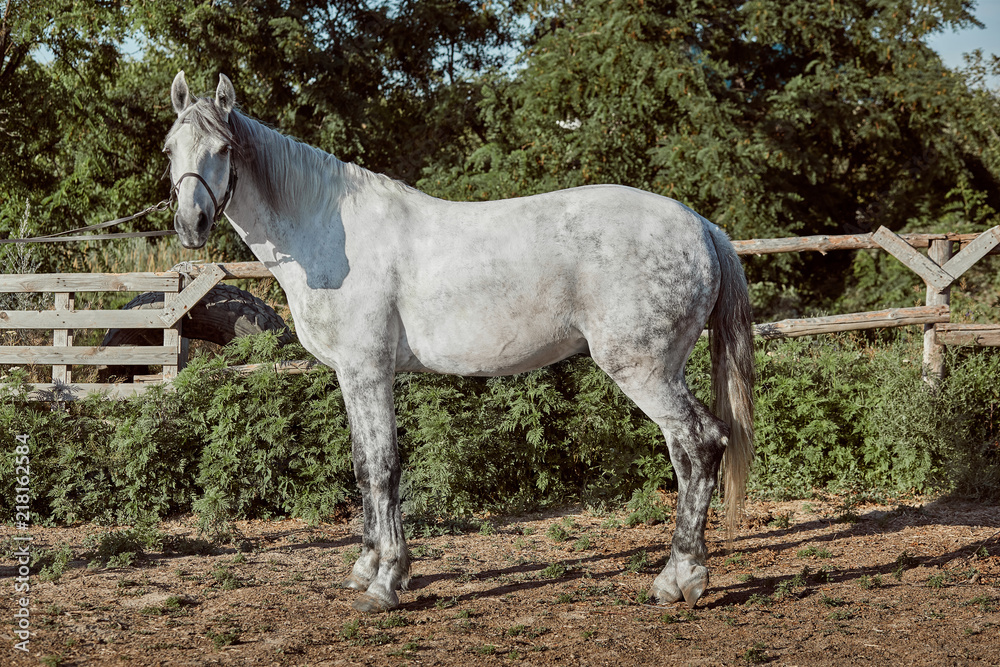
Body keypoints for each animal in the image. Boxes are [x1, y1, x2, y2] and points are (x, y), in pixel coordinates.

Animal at [164, 71, 756, 612]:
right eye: (171, 148)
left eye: (223, 148)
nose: (191, 222)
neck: (332, 233)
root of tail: (700, 226)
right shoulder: (351, 376)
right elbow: (361, 465)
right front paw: (367, 567)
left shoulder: (368, 370)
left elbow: (382, 466)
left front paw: (386, 582)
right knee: (693, 451)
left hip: (644, 370)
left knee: (700, 444)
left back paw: (680, 579)